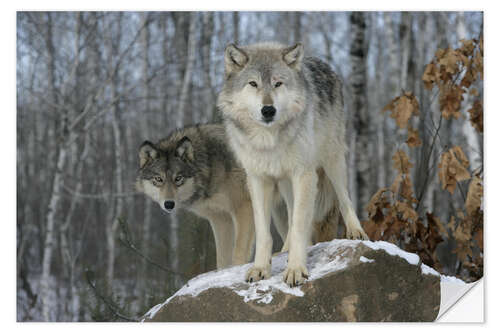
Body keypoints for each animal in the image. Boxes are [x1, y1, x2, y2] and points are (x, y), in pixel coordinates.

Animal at [217, 41, 370, 286]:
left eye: (278, 83)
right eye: (253, 83)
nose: (268, 110)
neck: (268, 140)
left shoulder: (304, 175)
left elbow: (299, 225)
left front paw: (296, 269)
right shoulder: (258, 179)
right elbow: (264, 232)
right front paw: (261, 268)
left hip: (332, 160)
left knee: (344, 198)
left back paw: (356, 231)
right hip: (285, 182)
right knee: (289, 214)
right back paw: (285, 250)